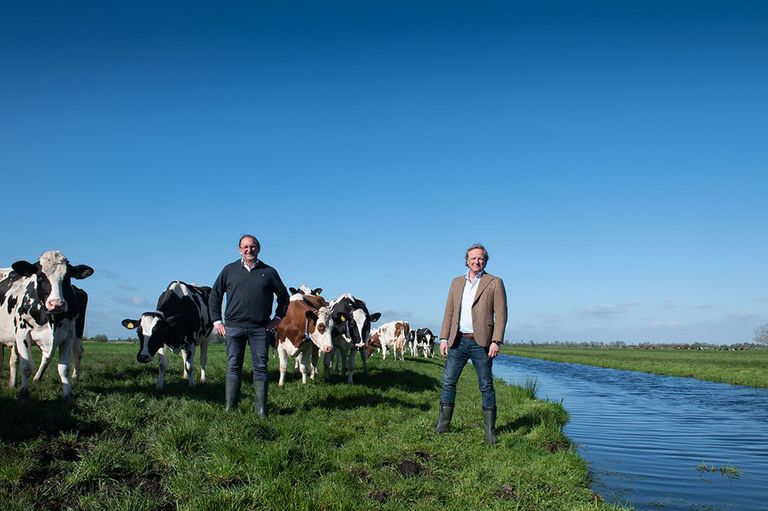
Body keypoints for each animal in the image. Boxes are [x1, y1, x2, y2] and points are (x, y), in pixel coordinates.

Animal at [0, 251, 94, 400]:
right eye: (40, 276)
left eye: (67, 277)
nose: (56, 304)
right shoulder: (22, 333)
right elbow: (26, 366)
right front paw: (23, 393)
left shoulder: (68, 335)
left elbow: (64, 368)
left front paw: (68, 395)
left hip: (78, 329)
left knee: (76, 352)